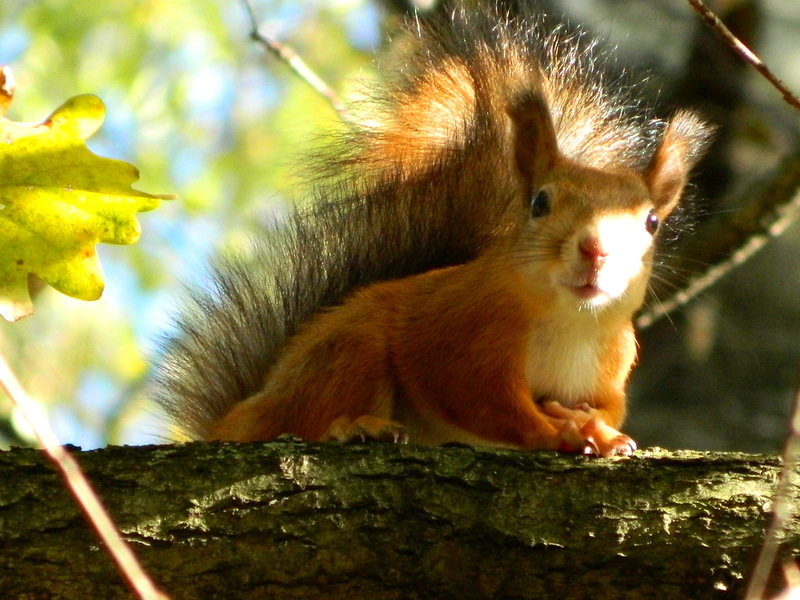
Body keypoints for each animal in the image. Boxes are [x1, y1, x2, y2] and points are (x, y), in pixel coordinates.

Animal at [156, 5, 712, 454]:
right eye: (540, 203)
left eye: (652, 221)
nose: (596, 250)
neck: (570, 322)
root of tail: (238, 419)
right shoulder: (463, 336)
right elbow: (482, 402)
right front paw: (554, 433)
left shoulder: (612, 365)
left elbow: (605, 408)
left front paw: (598, 430)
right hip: (346, 353)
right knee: (307, 420)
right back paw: (354, 427)